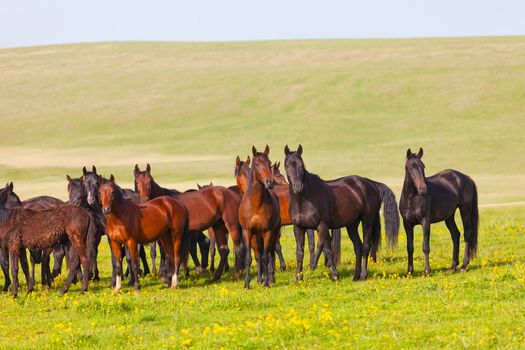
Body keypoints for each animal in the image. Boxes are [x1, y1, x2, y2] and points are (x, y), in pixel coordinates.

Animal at [237, 145, 280, 288]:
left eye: (269, 163)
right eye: (256, 164)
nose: (270, 182)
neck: (256, 204)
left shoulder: (267, 232)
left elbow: (266, 257)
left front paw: (266, 283)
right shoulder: (247, 231)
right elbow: (249, 258)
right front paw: (247, 284)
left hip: (273, 233)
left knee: (270, 253)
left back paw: (269, 278)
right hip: (256, 237)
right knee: (258, 255)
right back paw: (260, 279)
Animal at [282, 145, 398, 282]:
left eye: (301, 165)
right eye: (287, 165)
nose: (298, 187)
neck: (303, 200)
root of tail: (372, 184)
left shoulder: (322, 226)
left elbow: (327, 248)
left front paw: (334, 274)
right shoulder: (298, 228)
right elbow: (299, 252)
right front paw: (298, 277)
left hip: (367, 220)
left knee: (365, 246)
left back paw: (363, 275)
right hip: (352, 225)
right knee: (357, 247)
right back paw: (355, 276)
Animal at [400, 146, 476, 274]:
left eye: (423, 166)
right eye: (410, 167)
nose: (423, 189)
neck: (412, 198)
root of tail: (466, 178)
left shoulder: (425, 222)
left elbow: (425, 247)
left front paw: (427, 271)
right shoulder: (407, 224)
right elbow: (409, 247)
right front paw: (409, 271)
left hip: (465, 210)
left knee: (467, 234)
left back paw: (464, 265)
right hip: (449, 217)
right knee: (455, 235)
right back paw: (453, 266)